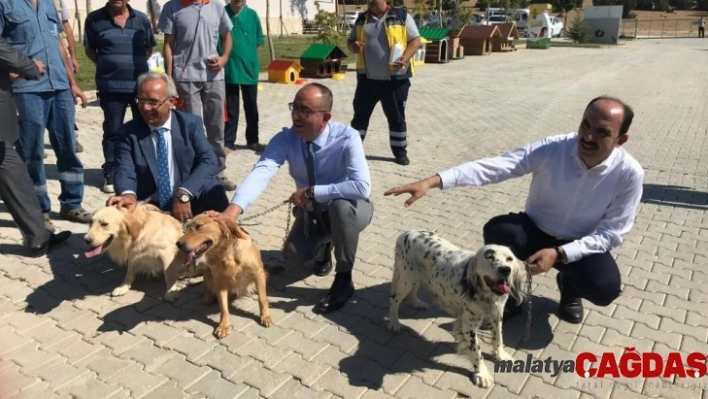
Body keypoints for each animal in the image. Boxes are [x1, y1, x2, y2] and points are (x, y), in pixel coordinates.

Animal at [388, 230, 524, 390]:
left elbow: (498, 338)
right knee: (394, 300)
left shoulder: (497, 314)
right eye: (489, 257)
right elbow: (477, 352)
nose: (506, 269)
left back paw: (417, 303)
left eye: (509, 259)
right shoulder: (469, 325)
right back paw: (394, 323)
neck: (485, 294)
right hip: (406, 279)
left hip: (418, 278)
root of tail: (406, 233)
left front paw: (501, 355)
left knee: (412, 293)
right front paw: (482, 374)